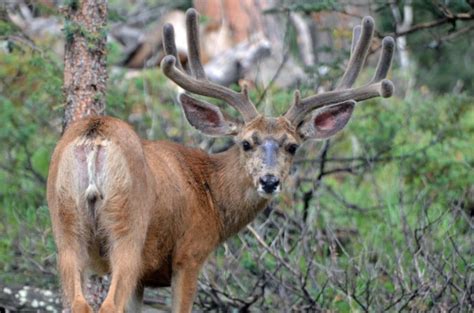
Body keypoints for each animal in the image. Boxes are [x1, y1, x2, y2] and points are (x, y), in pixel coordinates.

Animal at [46, 8, 394, 310]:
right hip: (127, 229)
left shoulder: (145, 277)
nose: (269, 181)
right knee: (107, 304)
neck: (211, 194)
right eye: (246, 143)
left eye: (292, 146)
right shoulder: (189, 253)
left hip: (65, 227)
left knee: (78, 302)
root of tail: (94, 137)